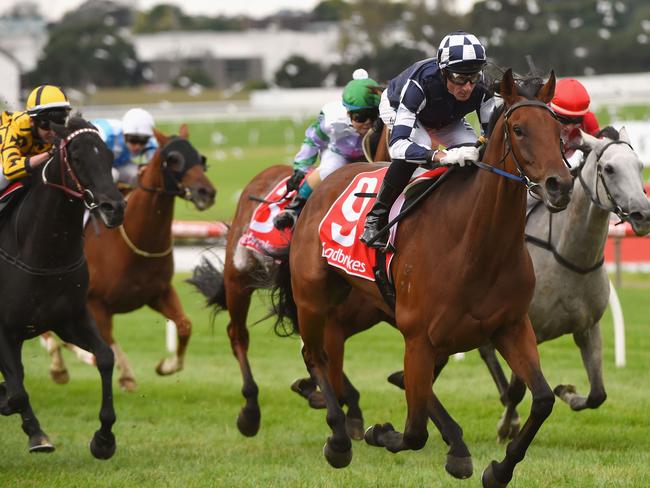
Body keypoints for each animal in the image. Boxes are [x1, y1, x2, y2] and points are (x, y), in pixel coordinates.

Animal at [0, 117, 125, 458]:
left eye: (110, 155)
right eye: (78, 157)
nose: (114, 207)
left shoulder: (70, 318)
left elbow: (105, 357)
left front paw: (104, 439)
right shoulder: (3, 330)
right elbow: (18, 393)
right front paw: (37, 435)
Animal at [46, 125, 218, 388]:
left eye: (201, 158)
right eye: (173, 159)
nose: (206, 192)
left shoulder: (159, 293)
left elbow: (184, 325)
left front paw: (166, 366)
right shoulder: (96, 303)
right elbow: (107, 342)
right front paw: (124, 373)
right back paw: (60, 365)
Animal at [274, 70, 572, 486]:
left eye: (558, 129)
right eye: (519, 129)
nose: (560, 185)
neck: (477, 246)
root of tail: (322, 186)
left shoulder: (510, 326)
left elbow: (543, 399)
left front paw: (499, 468)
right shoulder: (418, 336)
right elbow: (414, 432)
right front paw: (379, 432)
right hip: (313, 297)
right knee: (315, 355)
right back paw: (339, 438)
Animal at [476, 127, 648, 442]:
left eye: (640, 165)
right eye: (609, 168)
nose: (644, 214)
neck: (569, 255)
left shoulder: (588, 328)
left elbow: (598, 394)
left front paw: (567, 392)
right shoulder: (526, 328)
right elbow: (518, 391)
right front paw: (507, 426)